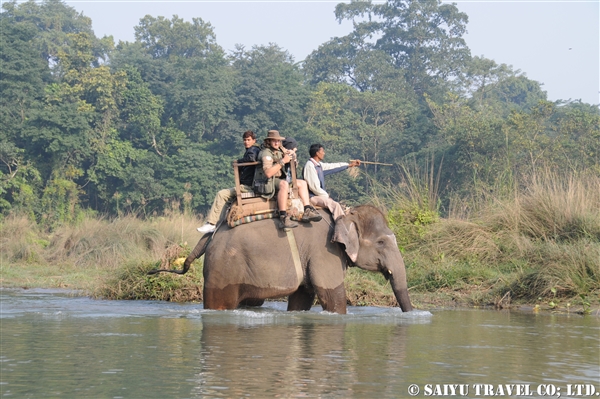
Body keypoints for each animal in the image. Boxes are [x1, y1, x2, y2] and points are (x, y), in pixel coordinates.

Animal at [151, 206, 412, 316]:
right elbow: (332, 296)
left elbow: (302, 298)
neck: (344, 214)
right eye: (381, 242)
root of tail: (212, 233)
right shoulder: (324, 252)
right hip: (222, 268)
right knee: (221, 302)